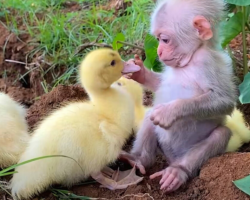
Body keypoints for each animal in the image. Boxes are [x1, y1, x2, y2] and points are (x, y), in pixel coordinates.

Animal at [123, 0, 238, 195]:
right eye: (158, 40)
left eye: (164, 40)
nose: (159, 52)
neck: (190, 60)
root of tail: (172, 157)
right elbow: (160, 84)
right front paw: (139, 72)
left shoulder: (208, 62)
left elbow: (225, 101)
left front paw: (170, 111)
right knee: (149, 116)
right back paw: (138, 159)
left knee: (221, 134)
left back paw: (177, 172)